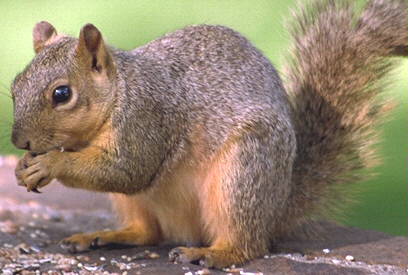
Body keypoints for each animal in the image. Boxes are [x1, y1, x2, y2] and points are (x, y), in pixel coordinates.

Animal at [11, 0, 406, 270]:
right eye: (15, 85)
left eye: (62, 94)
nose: (20, 143)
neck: (120, 91)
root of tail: (279, 205)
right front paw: (23, 167)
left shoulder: (146, 120)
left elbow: (128, 170)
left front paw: (50, 163)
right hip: (135, 203)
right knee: (147, 231)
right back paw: (105, 236)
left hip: (242, 172)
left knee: (249, 243)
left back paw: (214, 254)